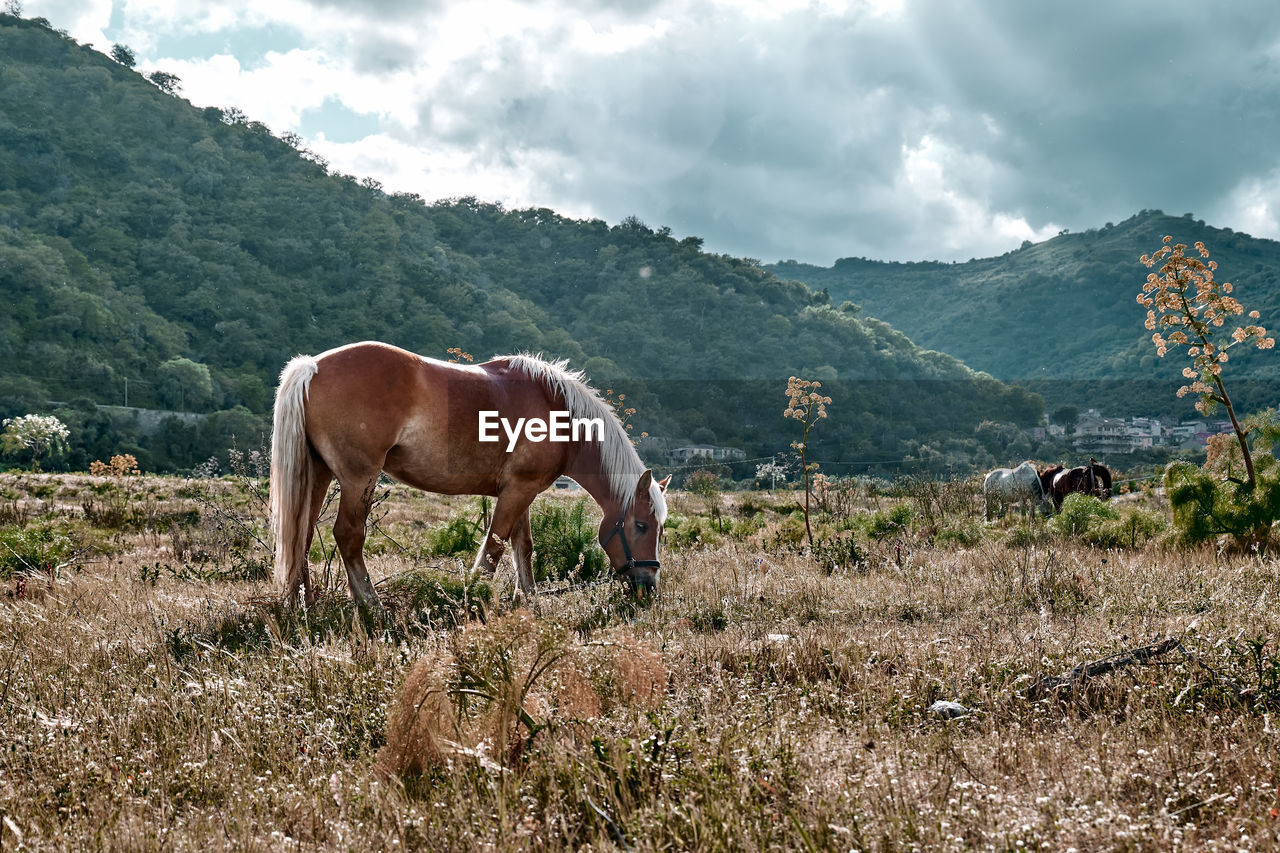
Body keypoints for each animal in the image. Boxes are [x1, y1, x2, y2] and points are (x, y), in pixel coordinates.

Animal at [270, 338, 670, 604]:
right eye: (641, 526)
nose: (648, 587)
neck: (557, 408)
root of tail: (312, 367)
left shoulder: (520, 492)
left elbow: (522, 547)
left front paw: (528, 600)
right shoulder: (518, 492)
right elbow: (495, 547)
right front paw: (473, 596)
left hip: (319, 475)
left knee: (302, 533)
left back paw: (304, 603)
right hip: (358, 479)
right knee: (348, 536)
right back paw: (372, 607)